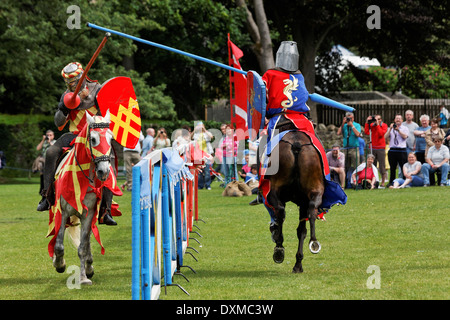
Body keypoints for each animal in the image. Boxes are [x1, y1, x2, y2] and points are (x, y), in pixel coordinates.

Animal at [262, 119, 326, 274]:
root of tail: (296, 144)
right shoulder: (303, 202)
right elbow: (301, 230)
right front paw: (298, 263)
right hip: (314, 190)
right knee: (311, 210)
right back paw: (313, 242)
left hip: (273, 190)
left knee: (280, 211)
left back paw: (279, 247)